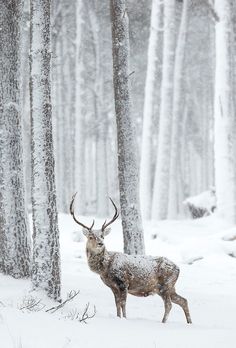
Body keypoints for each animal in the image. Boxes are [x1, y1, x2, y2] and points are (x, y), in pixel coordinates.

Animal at [69, 193, 192, 324]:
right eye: (91, 237)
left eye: (102, 236)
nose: (101, 243)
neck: (105, 268)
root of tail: (178, 268)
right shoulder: (113, 286)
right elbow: (117, 304)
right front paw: (118, 317)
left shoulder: (123, 282)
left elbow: (123, 304)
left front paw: (125, 318)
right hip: (169, 287)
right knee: (183, 300)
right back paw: (189, 322)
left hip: (165, 285)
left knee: (169, 304)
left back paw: (163, 322)